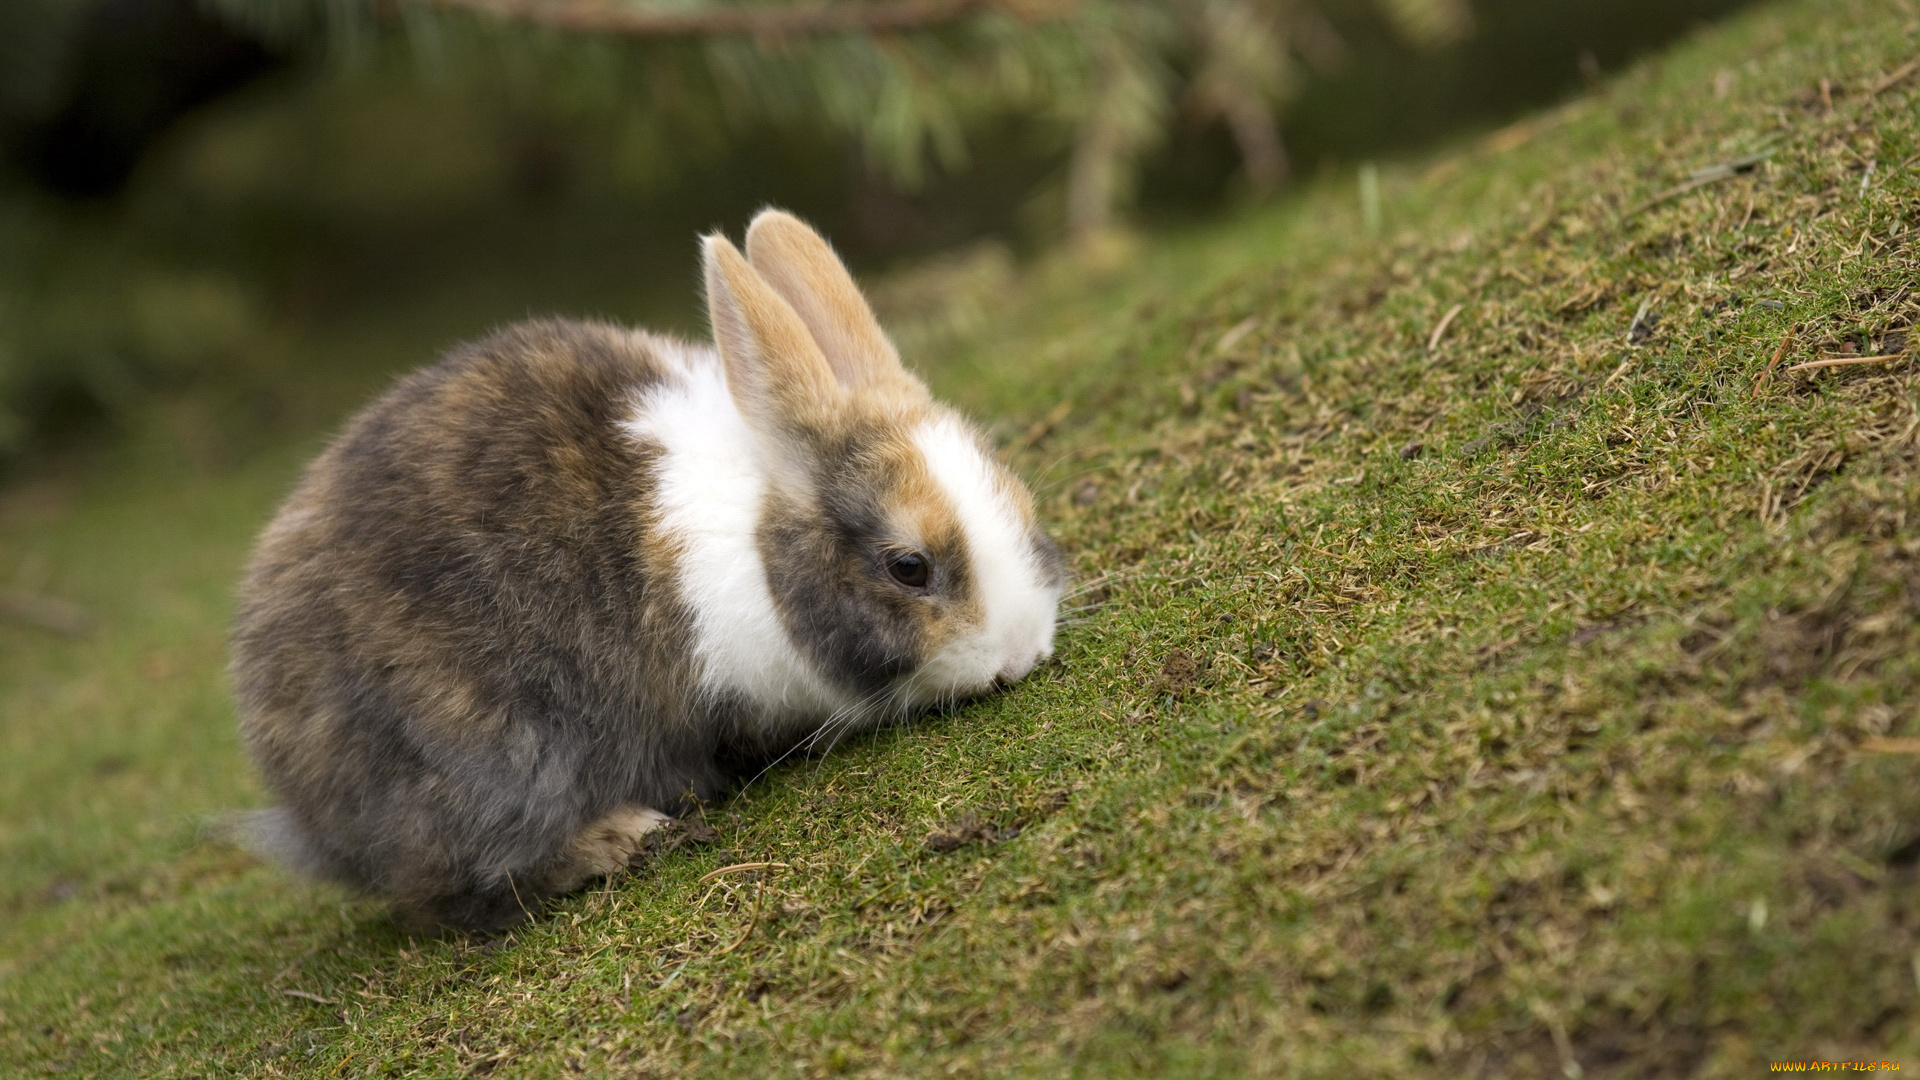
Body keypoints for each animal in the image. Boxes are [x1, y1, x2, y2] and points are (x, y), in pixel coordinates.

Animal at [234, 208, 1075, 926]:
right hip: (493, 761)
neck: (762, 543)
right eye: (908, 567)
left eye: (1019, 499)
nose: (1021, 655)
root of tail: (302, 803)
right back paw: (621, 837)